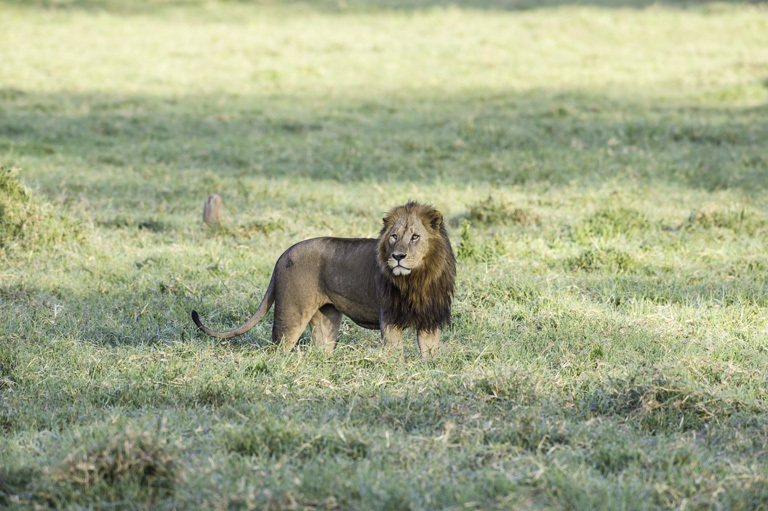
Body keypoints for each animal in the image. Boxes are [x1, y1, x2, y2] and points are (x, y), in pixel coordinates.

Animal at [192, 202, 456, 358]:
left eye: (415, 237)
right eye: (393, 236)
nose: (398, 257)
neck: (418, 278)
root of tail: (283, 255)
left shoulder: (430, 320)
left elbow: (430, 353)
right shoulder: (390, 318)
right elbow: (395, 354)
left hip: (326, 316)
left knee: (322, 347)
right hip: (291, 312)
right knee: (278, 346)